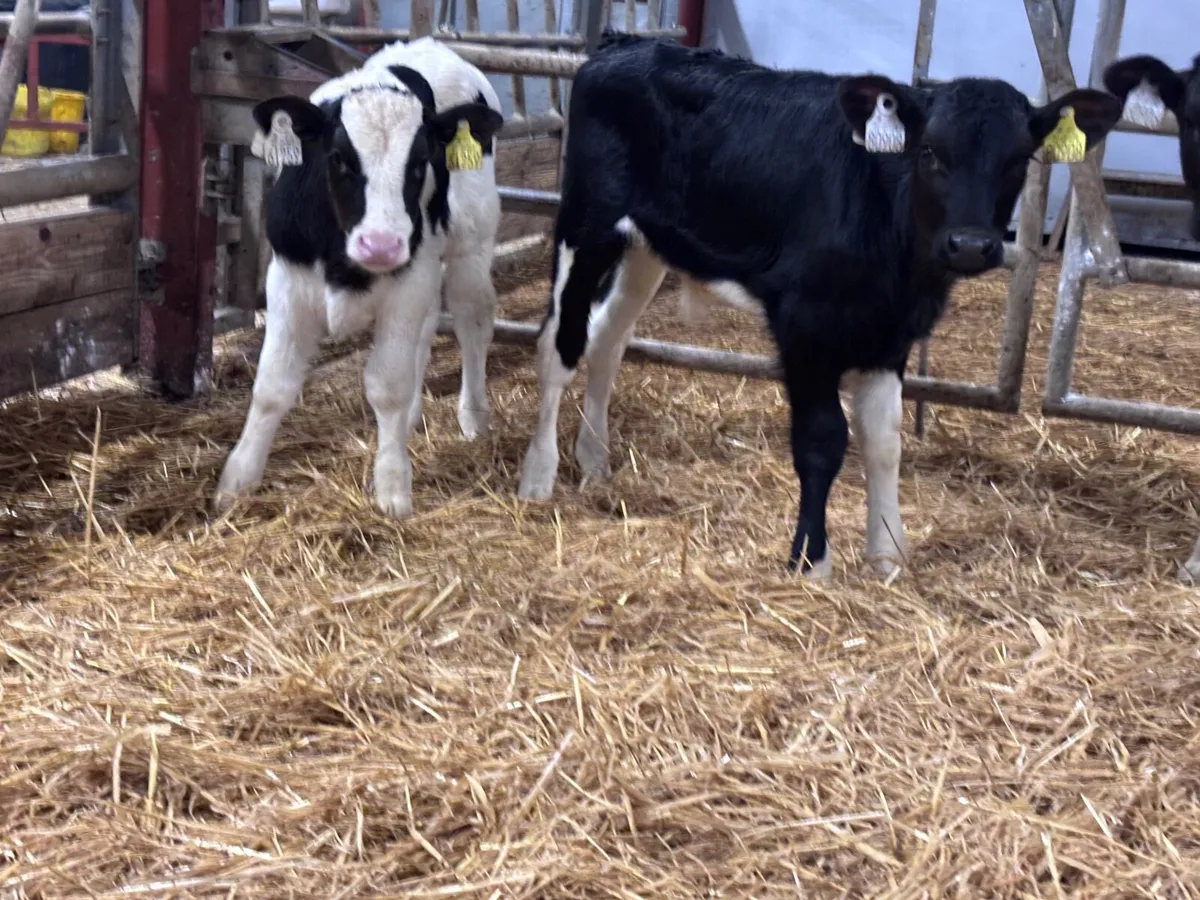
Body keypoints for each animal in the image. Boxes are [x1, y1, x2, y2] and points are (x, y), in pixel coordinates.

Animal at [213, 38, 504, 518]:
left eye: (421, 162)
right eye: (338, 160)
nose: (381, 245)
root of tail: (429, 43)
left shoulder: (408, 282)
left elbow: (387, 386)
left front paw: (392, 488)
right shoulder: (287, 281)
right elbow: (272, 385)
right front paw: (237, 480)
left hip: (469, 247)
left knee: (472, 321)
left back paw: (473, 416)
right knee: (428, 330)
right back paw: (413, 418)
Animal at [516, 32, 1123, 579]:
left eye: (1020, 160)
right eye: (929, 151)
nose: (971, 245)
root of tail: (623, 44)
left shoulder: (889, 334)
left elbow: (884, 442)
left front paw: (887, 556)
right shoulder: (804, 325)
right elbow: (823, 439)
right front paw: (811, 561)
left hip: (647, 245)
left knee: (608, 337)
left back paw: (594, 460)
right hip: (587, 223)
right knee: (559, 342)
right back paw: (538, 476)